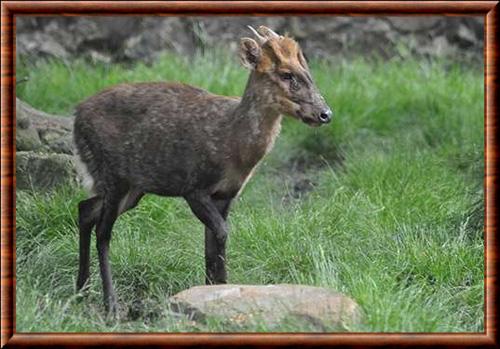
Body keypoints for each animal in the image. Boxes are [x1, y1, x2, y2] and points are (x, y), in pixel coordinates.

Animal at [73, 25, 332, 312]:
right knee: (103, 232)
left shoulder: (227, 194)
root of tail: (76, 116)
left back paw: (81, 290)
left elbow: (213, 242)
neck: (233, 144)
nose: (325, 114)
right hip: (112, 174)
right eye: (286, 74)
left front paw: (214, 291)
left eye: (308, 72)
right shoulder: (194, 186)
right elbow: (221, 233)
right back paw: (110, 304)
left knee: (85, 209)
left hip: (132, 187)